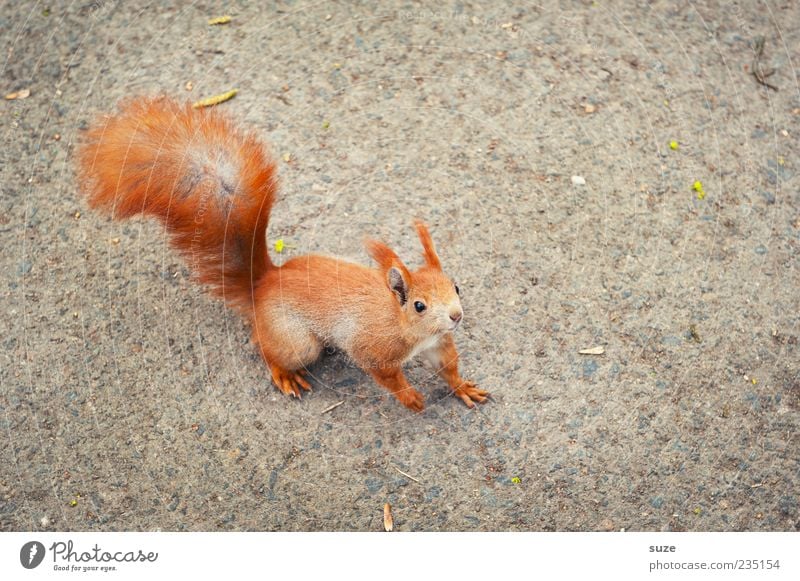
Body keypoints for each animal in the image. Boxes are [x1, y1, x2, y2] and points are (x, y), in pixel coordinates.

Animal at [76, 96, 488, 412]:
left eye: (456, 286)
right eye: (419, 305)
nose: (456, 315)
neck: (407, 327)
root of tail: (264, 282)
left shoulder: (438, 344)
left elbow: (448, 368)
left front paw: (463, 386)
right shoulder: (374, 349)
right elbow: (386, 376)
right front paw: (410, 398)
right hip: (297, 341)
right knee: (265, 348)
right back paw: (284, 374)